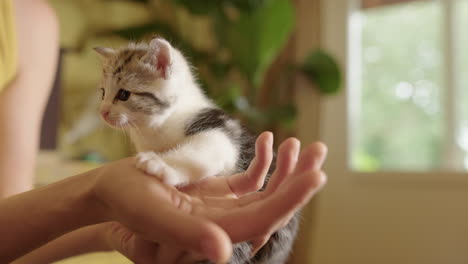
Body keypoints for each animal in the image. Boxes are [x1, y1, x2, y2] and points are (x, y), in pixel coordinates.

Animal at [95, 37, 300, 264]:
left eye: (124, 94)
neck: (157, 127)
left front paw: (160, 164)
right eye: (103, 93)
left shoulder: (219, 133)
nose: (103, 112)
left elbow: (199, 151)